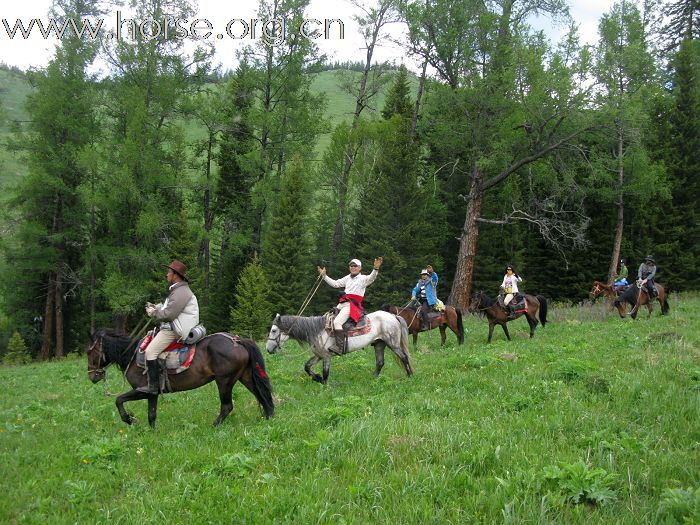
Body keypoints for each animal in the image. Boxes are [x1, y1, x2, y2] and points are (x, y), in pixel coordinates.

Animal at [87, 330, 274, 428]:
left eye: (89, 352)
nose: (92, 376)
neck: (133, 356)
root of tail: (237, 340)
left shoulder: (144, 390)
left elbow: (119, 400)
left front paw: (129, 419)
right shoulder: (153, 394)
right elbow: (151, 414)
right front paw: (152, 432)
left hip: (224, 381)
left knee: (227, 406)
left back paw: (213, 425)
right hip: (245, 377)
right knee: (262, 396)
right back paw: (268, 417)